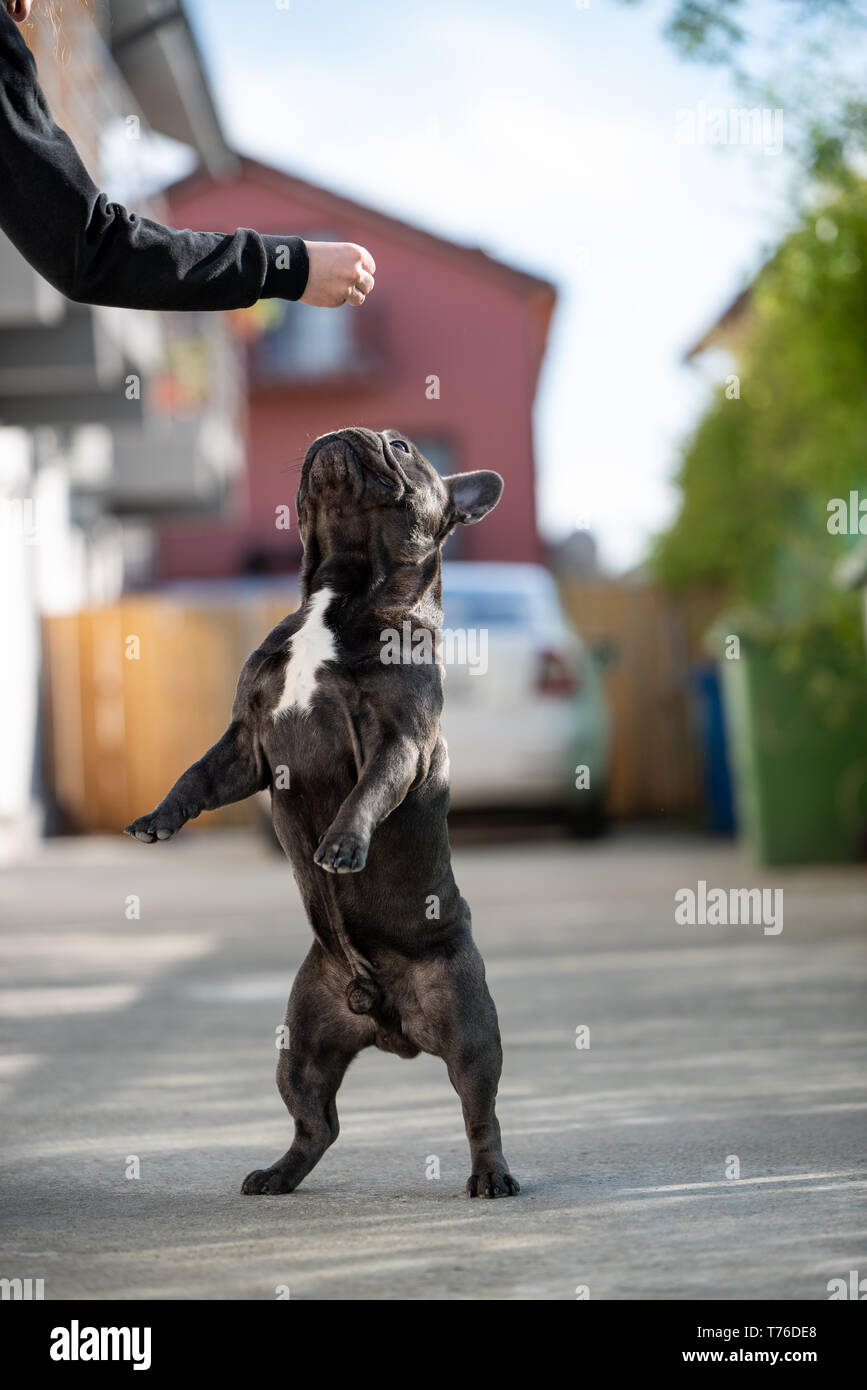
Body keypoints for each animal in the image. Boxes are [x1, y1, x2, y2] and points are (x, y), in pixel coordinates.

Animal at [125, 428, 516, 1200]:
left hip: (468, 1027)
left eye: (403, 445)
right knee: (318, 1121)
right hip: (302, 1038)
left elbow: (366, 792)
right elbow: (195, 774)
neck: (344, 590)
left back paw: (491, 1177)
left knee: (477, 1109)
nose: (344, 434)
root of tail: (389, 1024)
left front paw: (341, 844)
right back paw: (278, 1174)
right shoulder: (246, 742)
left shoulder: (397, 742)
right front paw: (160, 816)